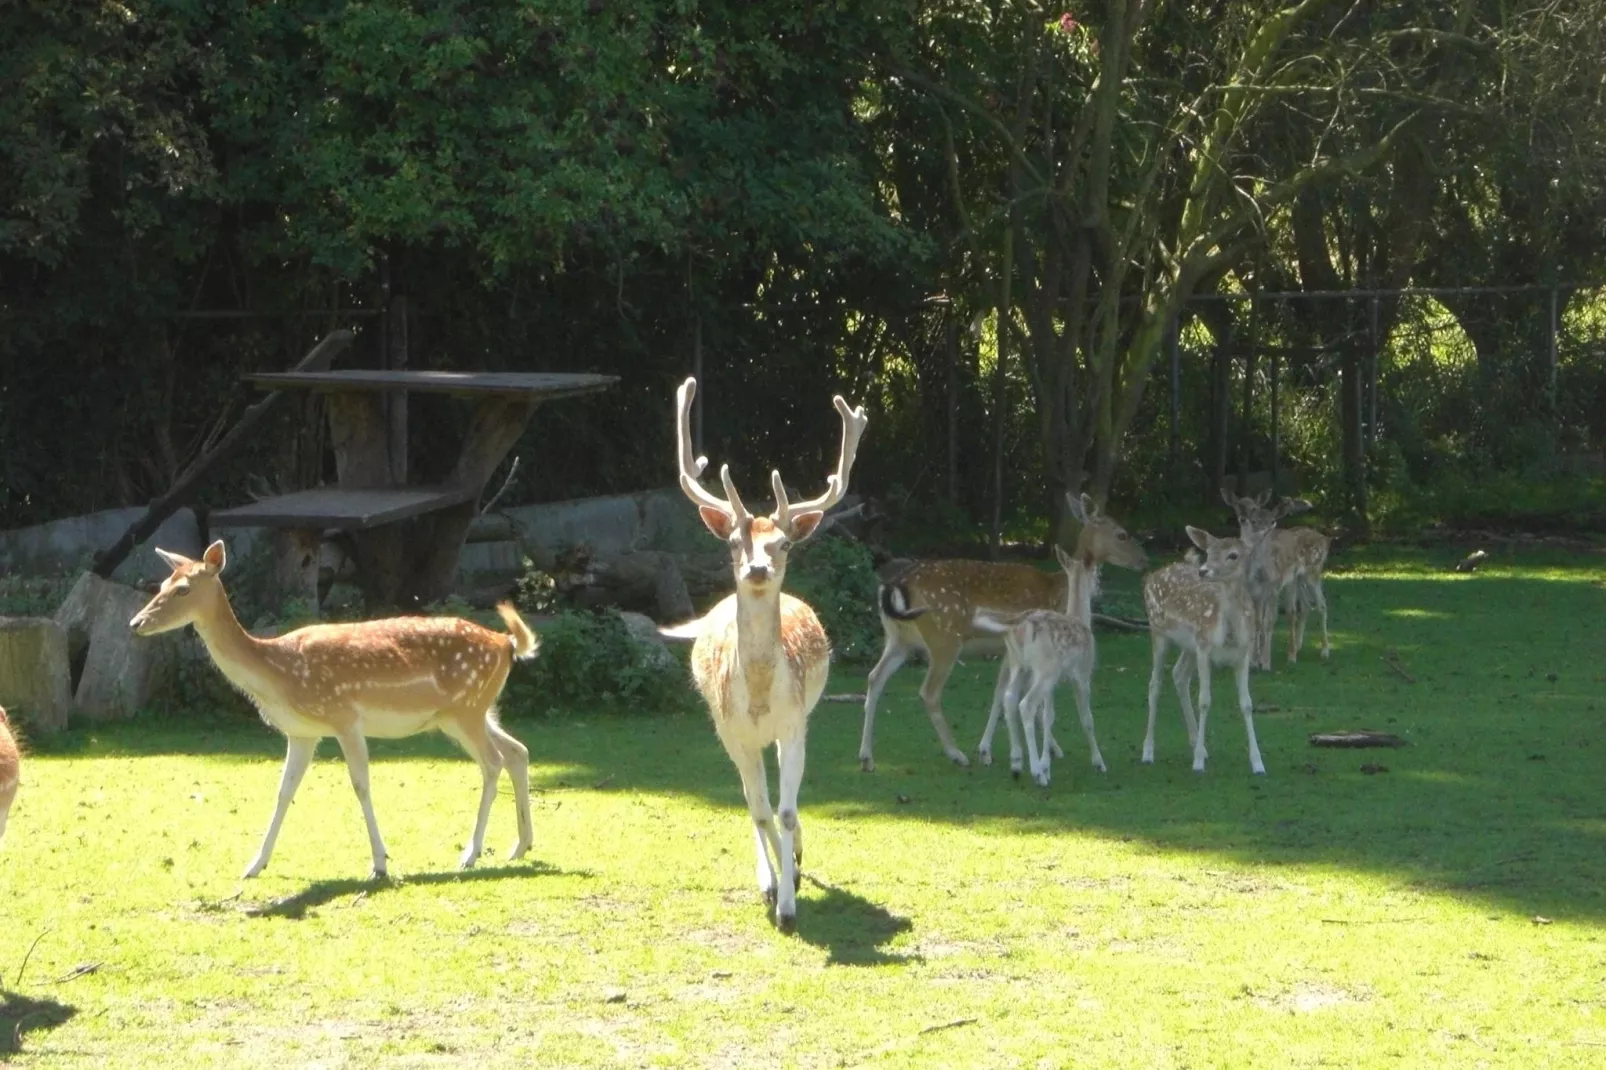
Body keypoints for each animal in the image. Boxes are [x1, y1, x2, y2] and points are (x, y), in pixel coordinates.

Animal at [128, 543, 542, 873]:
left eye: (183, 588)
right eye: (161, 585)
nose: (136, 623)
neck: (279, 674)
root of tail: (506, 643)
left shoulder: (344, 717)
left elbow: (360, 785)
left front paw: (379, 863)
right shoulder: (302, 733)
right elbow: (283, 791)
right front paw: (254, 865)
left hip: (466, 708)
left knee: (493, 762)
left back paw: (470, 853)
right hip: (473, 711)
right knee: (517, 751)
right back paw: (520, 846)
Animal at [658, 374, 867, 931]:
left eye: (784, 545)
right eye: (734, 542)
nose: (756, 568)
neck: (755, 696)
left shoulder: (794, 721)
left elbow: (788, 810)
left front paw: (792, 904)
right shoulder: (732, 731)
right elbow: (759, 807)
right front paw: (776, 890)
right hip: (728, 733)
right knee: (753, 798)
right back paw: (771, 874)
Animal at [860, 488, 1149, 771]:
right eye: (1122, 534)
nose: (1144, 560)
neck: (1060, 595)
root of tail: (893, 584)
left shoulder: (1010, 651)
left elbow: (1002, 693)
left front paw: (997, 750)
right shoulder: (1029, 653)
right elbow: (1019, 697)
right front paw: (1033, 751)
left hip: (898, 639)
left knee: (875, 678)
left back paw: (867, 758)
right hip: (945, 638)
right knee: (928, 692)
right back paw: (956, 754)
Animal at [1143, 520, 1265, 771]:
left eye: (1233, 555)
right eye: (1208, 552)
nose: (1203, 570)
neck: (1228, 635)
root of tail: (1151, 577)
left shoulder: (1243, 653)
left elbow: (1247, 703)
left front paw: (1258, 763)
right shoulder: (1204, 649)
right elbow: (1204, 701)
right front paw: (1198, 763)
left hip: (1189, 645)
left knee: (1178, 674)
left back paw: (1196, 744)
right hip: (1158, 631)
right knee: (1155, 684)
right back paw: (1148, 752)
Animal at [1220, 485, 1336, 668]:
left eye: (1254, 507)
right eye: (1237, 505)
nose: (1244, 519)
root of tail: (1326, 539)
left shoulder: (1273, 588)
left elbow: (1268, 621)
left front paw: (1265, 662)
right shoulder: (1253, 591)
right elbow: (1257, 622)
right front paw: (1254, 661)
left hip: (1313, 572)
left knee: (1321, 605)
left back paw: (1324, 652)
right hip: (1297, 580)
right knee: (1305, 605)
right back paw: (1297, 647)